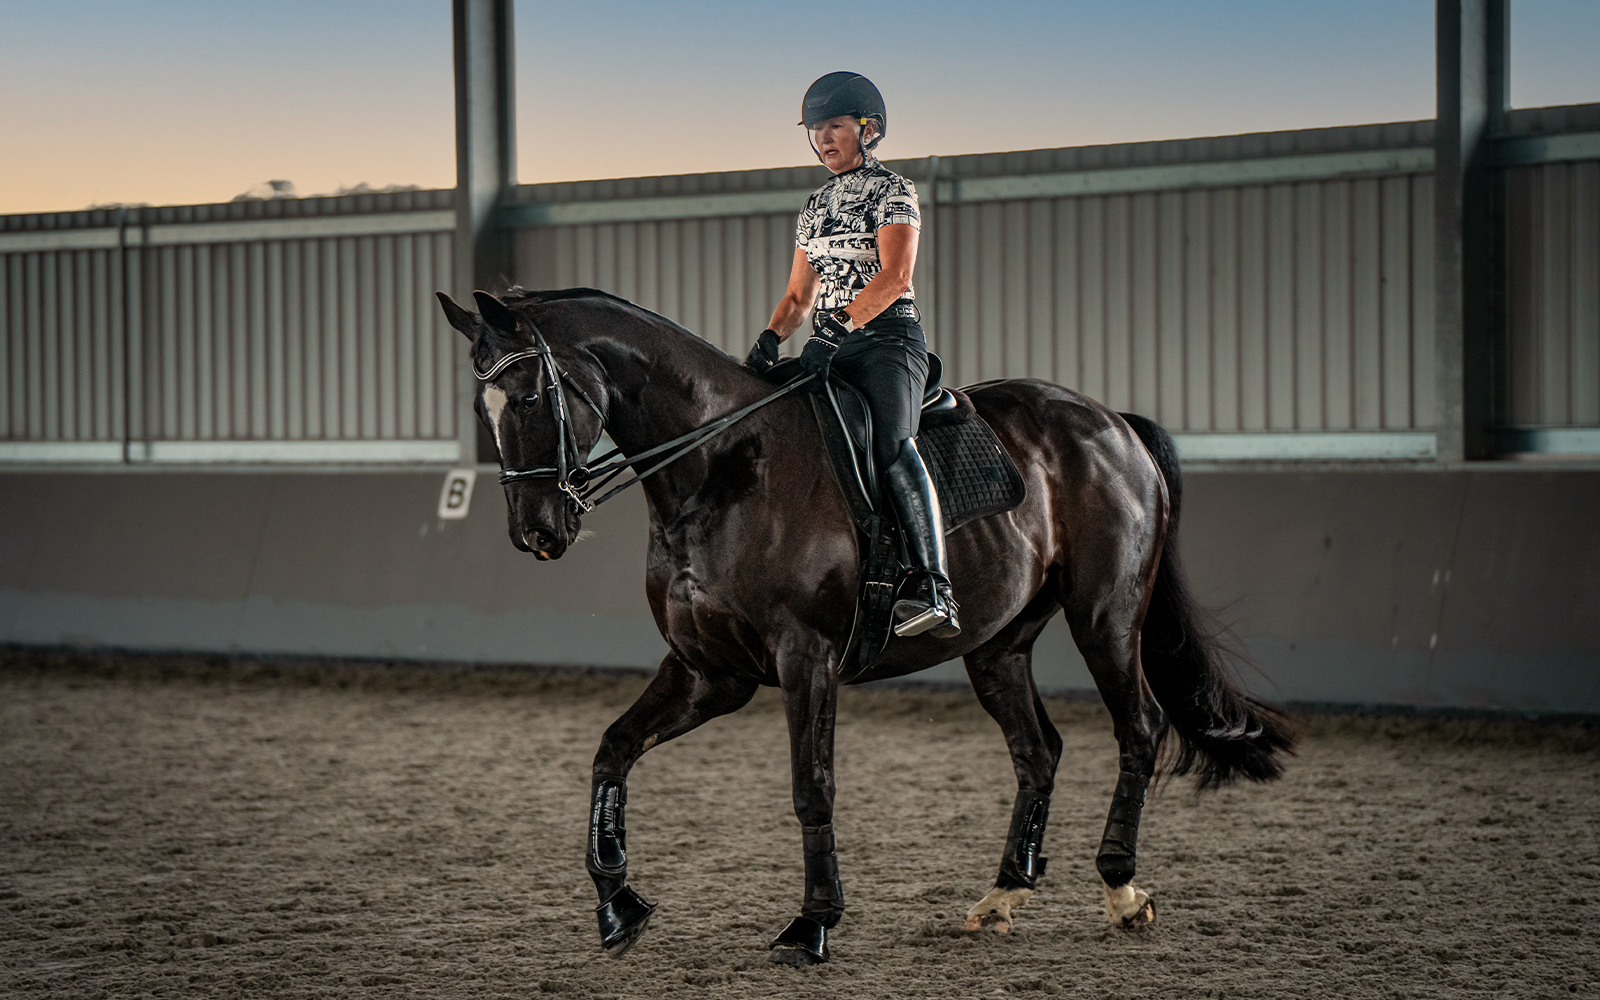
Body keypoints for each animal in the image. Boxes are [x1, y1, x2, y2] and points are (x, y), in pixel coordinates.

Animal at [441, 284, 1299, 966]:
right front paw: (618, 905)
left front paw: (812, 925)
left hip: (1105, 616)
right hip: (998, 644)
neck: (722, 464)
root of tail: (1111, 422)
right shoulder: (708, 672)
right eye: (482, 405)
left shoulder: (805, 657)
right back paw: (1002, 895)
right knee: (1038, 751)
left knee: (1139, 727)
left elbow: (811, 786)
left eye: (527, 397)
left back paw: (1121, 888)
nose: (538, 532)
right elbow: (611, 751)